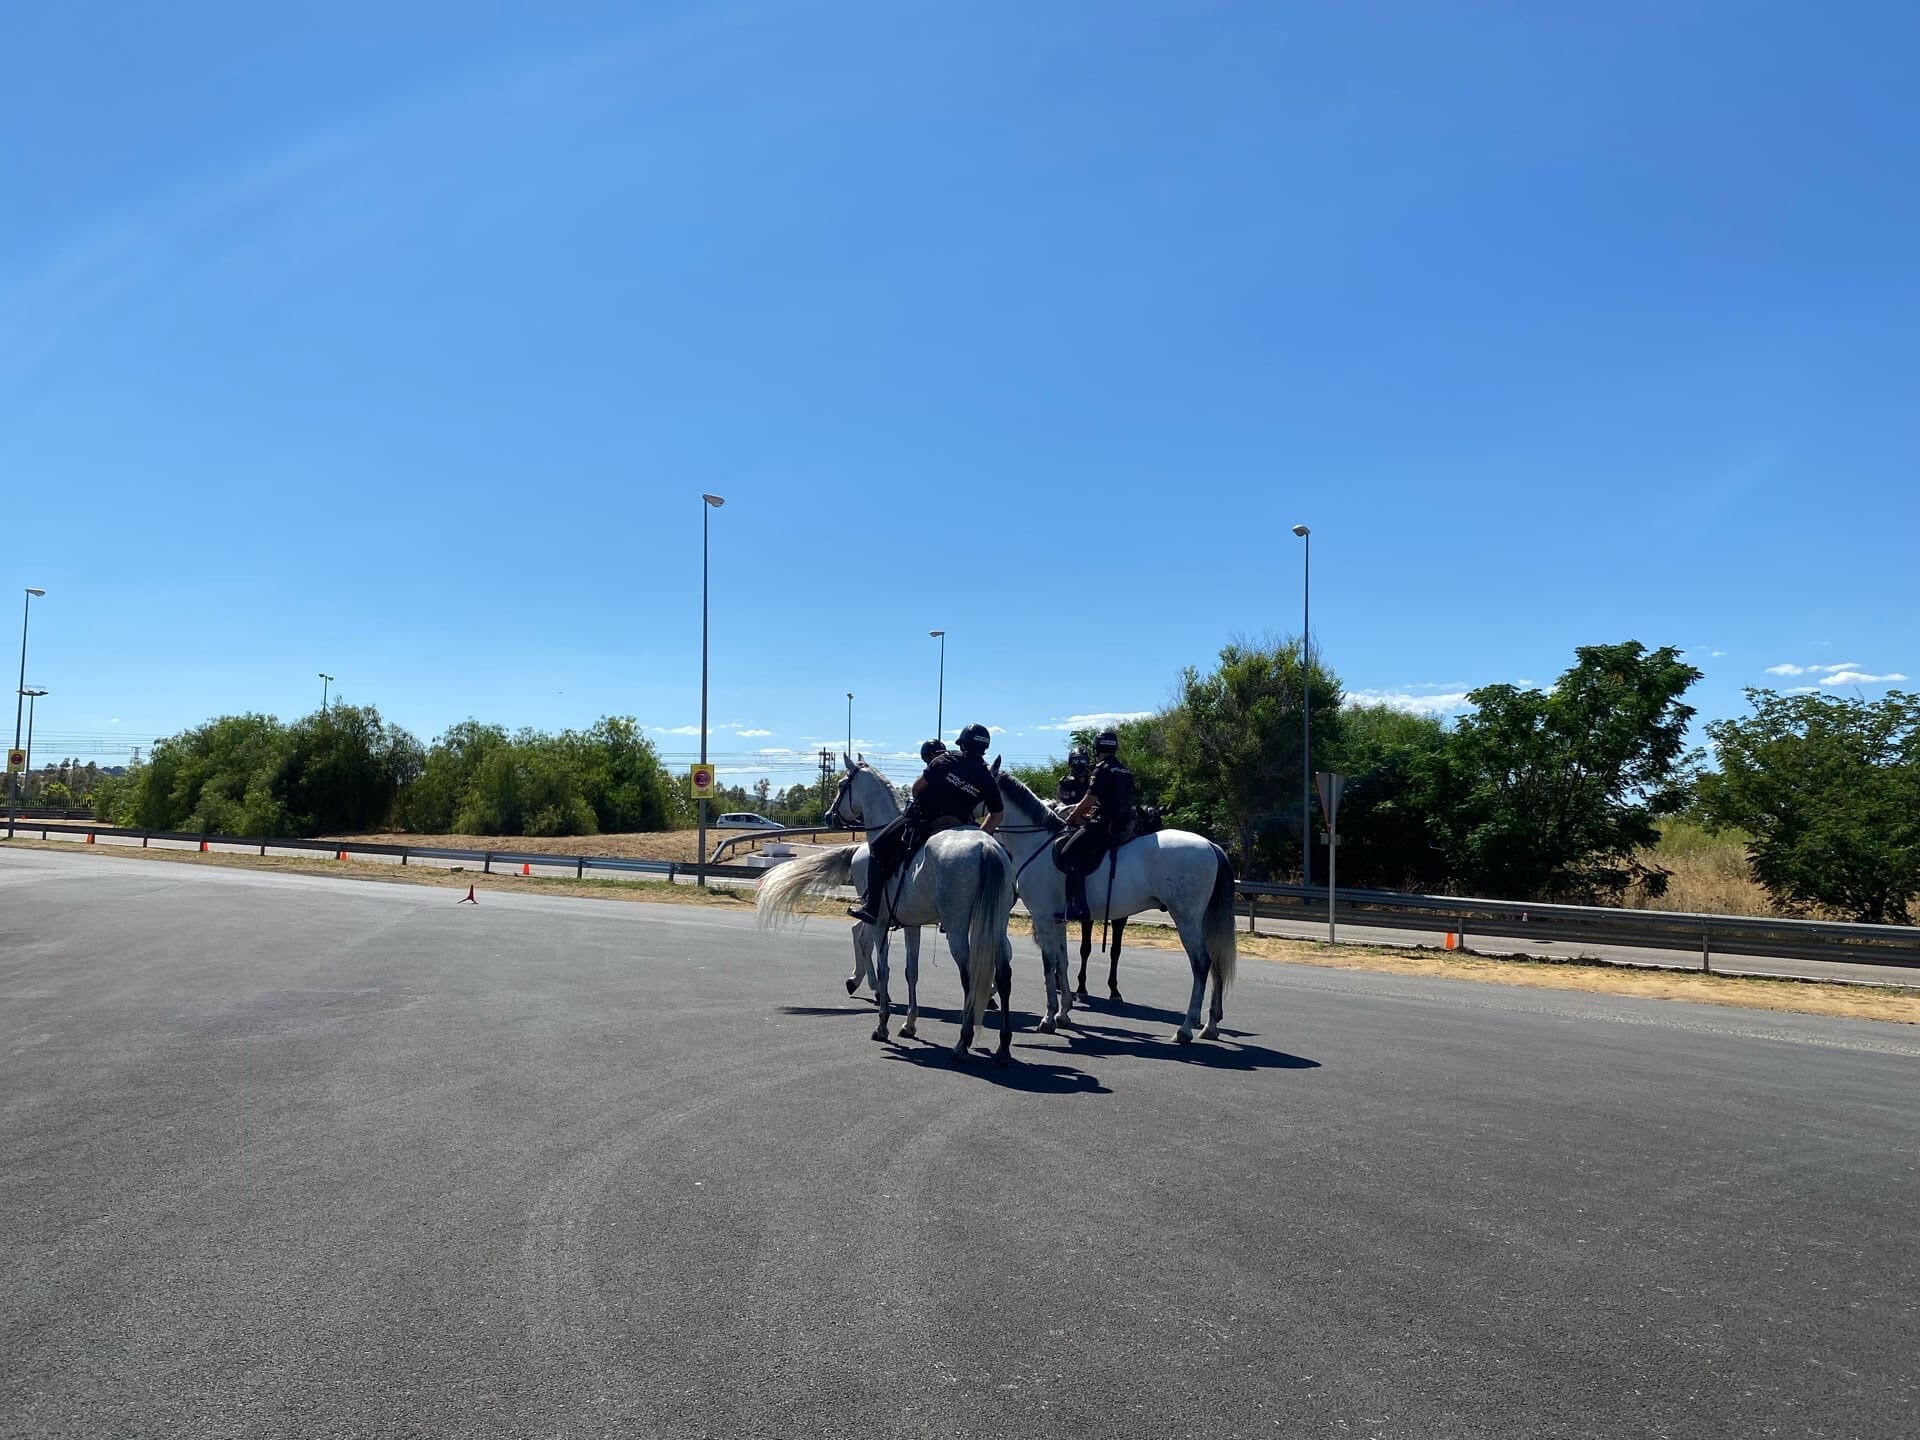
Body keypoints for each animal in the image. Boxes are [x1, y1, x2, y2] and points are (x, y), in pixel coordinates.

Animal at [756, 768, 1021, 1059]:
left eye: (841, 784)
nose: (828, 816)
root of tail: (987, 848)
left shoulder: (881, 923)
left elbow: (886, 970)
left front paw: (882, 1025)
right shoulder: (913, 925)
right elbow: (911, 971)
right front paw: (909, 1024)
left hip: (957, 928)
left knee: (967, 975)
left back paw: (963, 1041)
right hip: (996, 926)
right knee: (1004, 975)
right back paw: (1003, 1045)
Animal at [983, 771, 1236, 1044]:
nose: (982, 829)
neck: (1037, 843)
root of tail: (1211, 846)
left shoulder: (1043, 918)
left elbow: (1049, 963)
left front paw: (1049, 1017)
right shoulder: (1057, 919)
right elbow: (1062, 960)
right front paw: (1064, 1013)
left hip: (1186, 918)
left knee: (1201, 963)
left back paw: (1186, 1028)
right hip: (1202, 920)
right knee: (1216, 962)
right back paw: (1210, 1025)